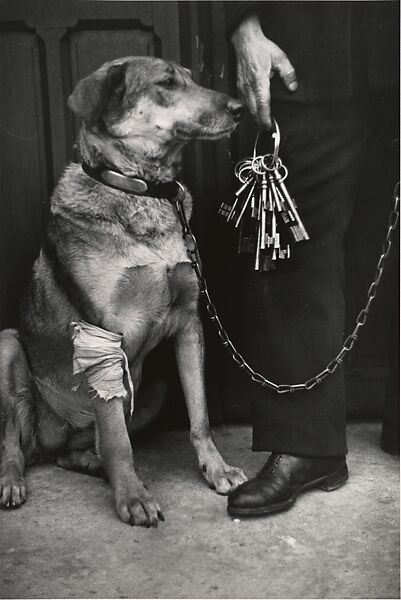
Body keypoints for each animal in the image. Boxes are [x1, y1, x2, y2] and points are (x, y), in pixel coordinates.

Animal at [0, 56, 247, 524]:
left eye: (192, 78)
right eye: (167, 83)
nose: (241, 108)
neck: (143, 191)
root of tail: (50, 439)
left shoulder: (190, 323)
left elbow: (200, 416)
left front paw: (216, 468)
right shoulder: (100, 337)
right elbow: (117, 437)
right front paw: (132, 496)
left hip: (153, 388)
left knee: (75, 451)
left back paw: (90, 462)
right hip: (8, 350)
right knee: (13, 443)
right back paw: (13, 481)